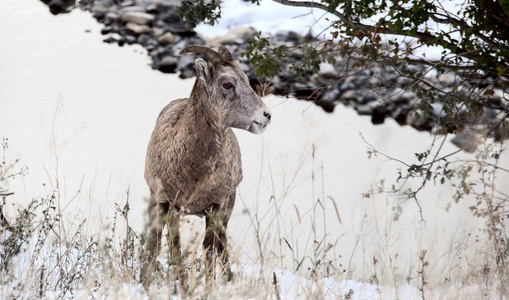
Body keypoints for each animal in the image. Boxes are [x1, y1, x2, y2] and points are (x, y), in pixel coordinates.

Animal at [141, 45, 272, 284]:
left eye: (246, 80)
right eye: (227, 84)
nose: (266, 115)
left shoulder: (216, 207)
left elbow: (210, 250)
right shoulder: (171, 204)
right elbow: (171, 247)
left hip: (227, 207)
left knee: (222, 244)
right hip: (160, 203)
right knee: (156, 241)